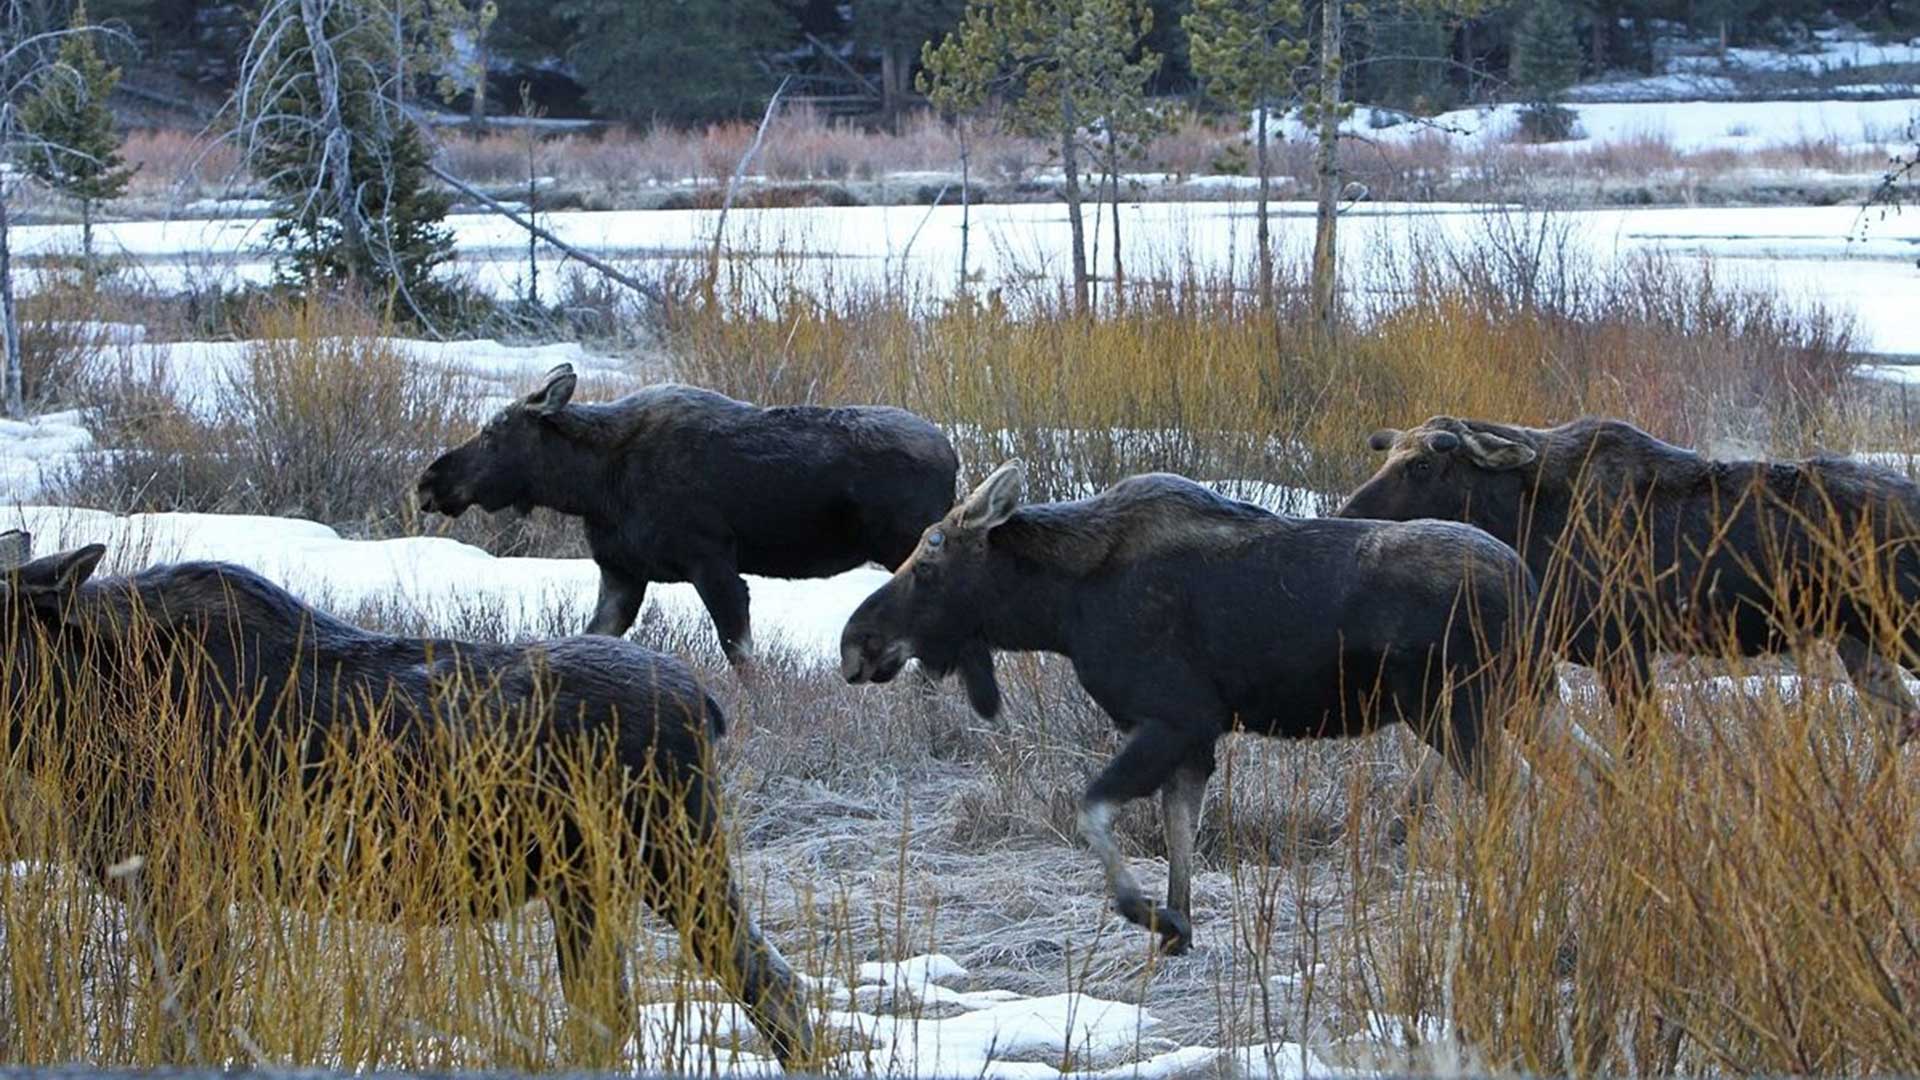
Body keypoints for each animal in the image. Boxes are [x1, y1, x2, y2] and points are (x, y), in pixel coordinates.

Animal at [0, 533, 814, 1067]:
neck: (76, 702)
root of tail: (707, 706)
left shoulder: (180, 881)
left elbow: (188, 1025)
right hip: (586, 886)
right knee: (609, 1018)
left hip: (672, 859)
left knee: (775, 988)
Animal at [417, 365, 960, 667]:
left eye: (493, 431)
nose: (429, 481)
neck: (592, 486)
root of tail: (954, 457)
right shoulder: (621, 571)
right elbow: (593, 636)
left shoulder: (711, 561)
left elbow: (740, 654)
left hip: (907, 548)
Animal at [838, 463, 1544, 954]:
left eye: (928, 559)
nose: (855, 642)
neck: (1060, 610)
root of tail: (1526, 582)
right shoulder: (1194, 741)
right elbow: (1181, 840)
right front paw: (1178, 929)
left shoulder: (1176, 720)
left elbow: (1093, 810)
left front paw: (1150, 913)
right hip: (1514, 705)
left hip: (1458, 711)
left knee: (1523, 792)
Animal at [1338, 415, 1920, 745]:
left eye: (1420, 466)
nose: (1347, 512)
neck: (1523, 520)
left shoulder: (1620, 646)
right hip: (1859, 637)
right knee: (1900, 725)